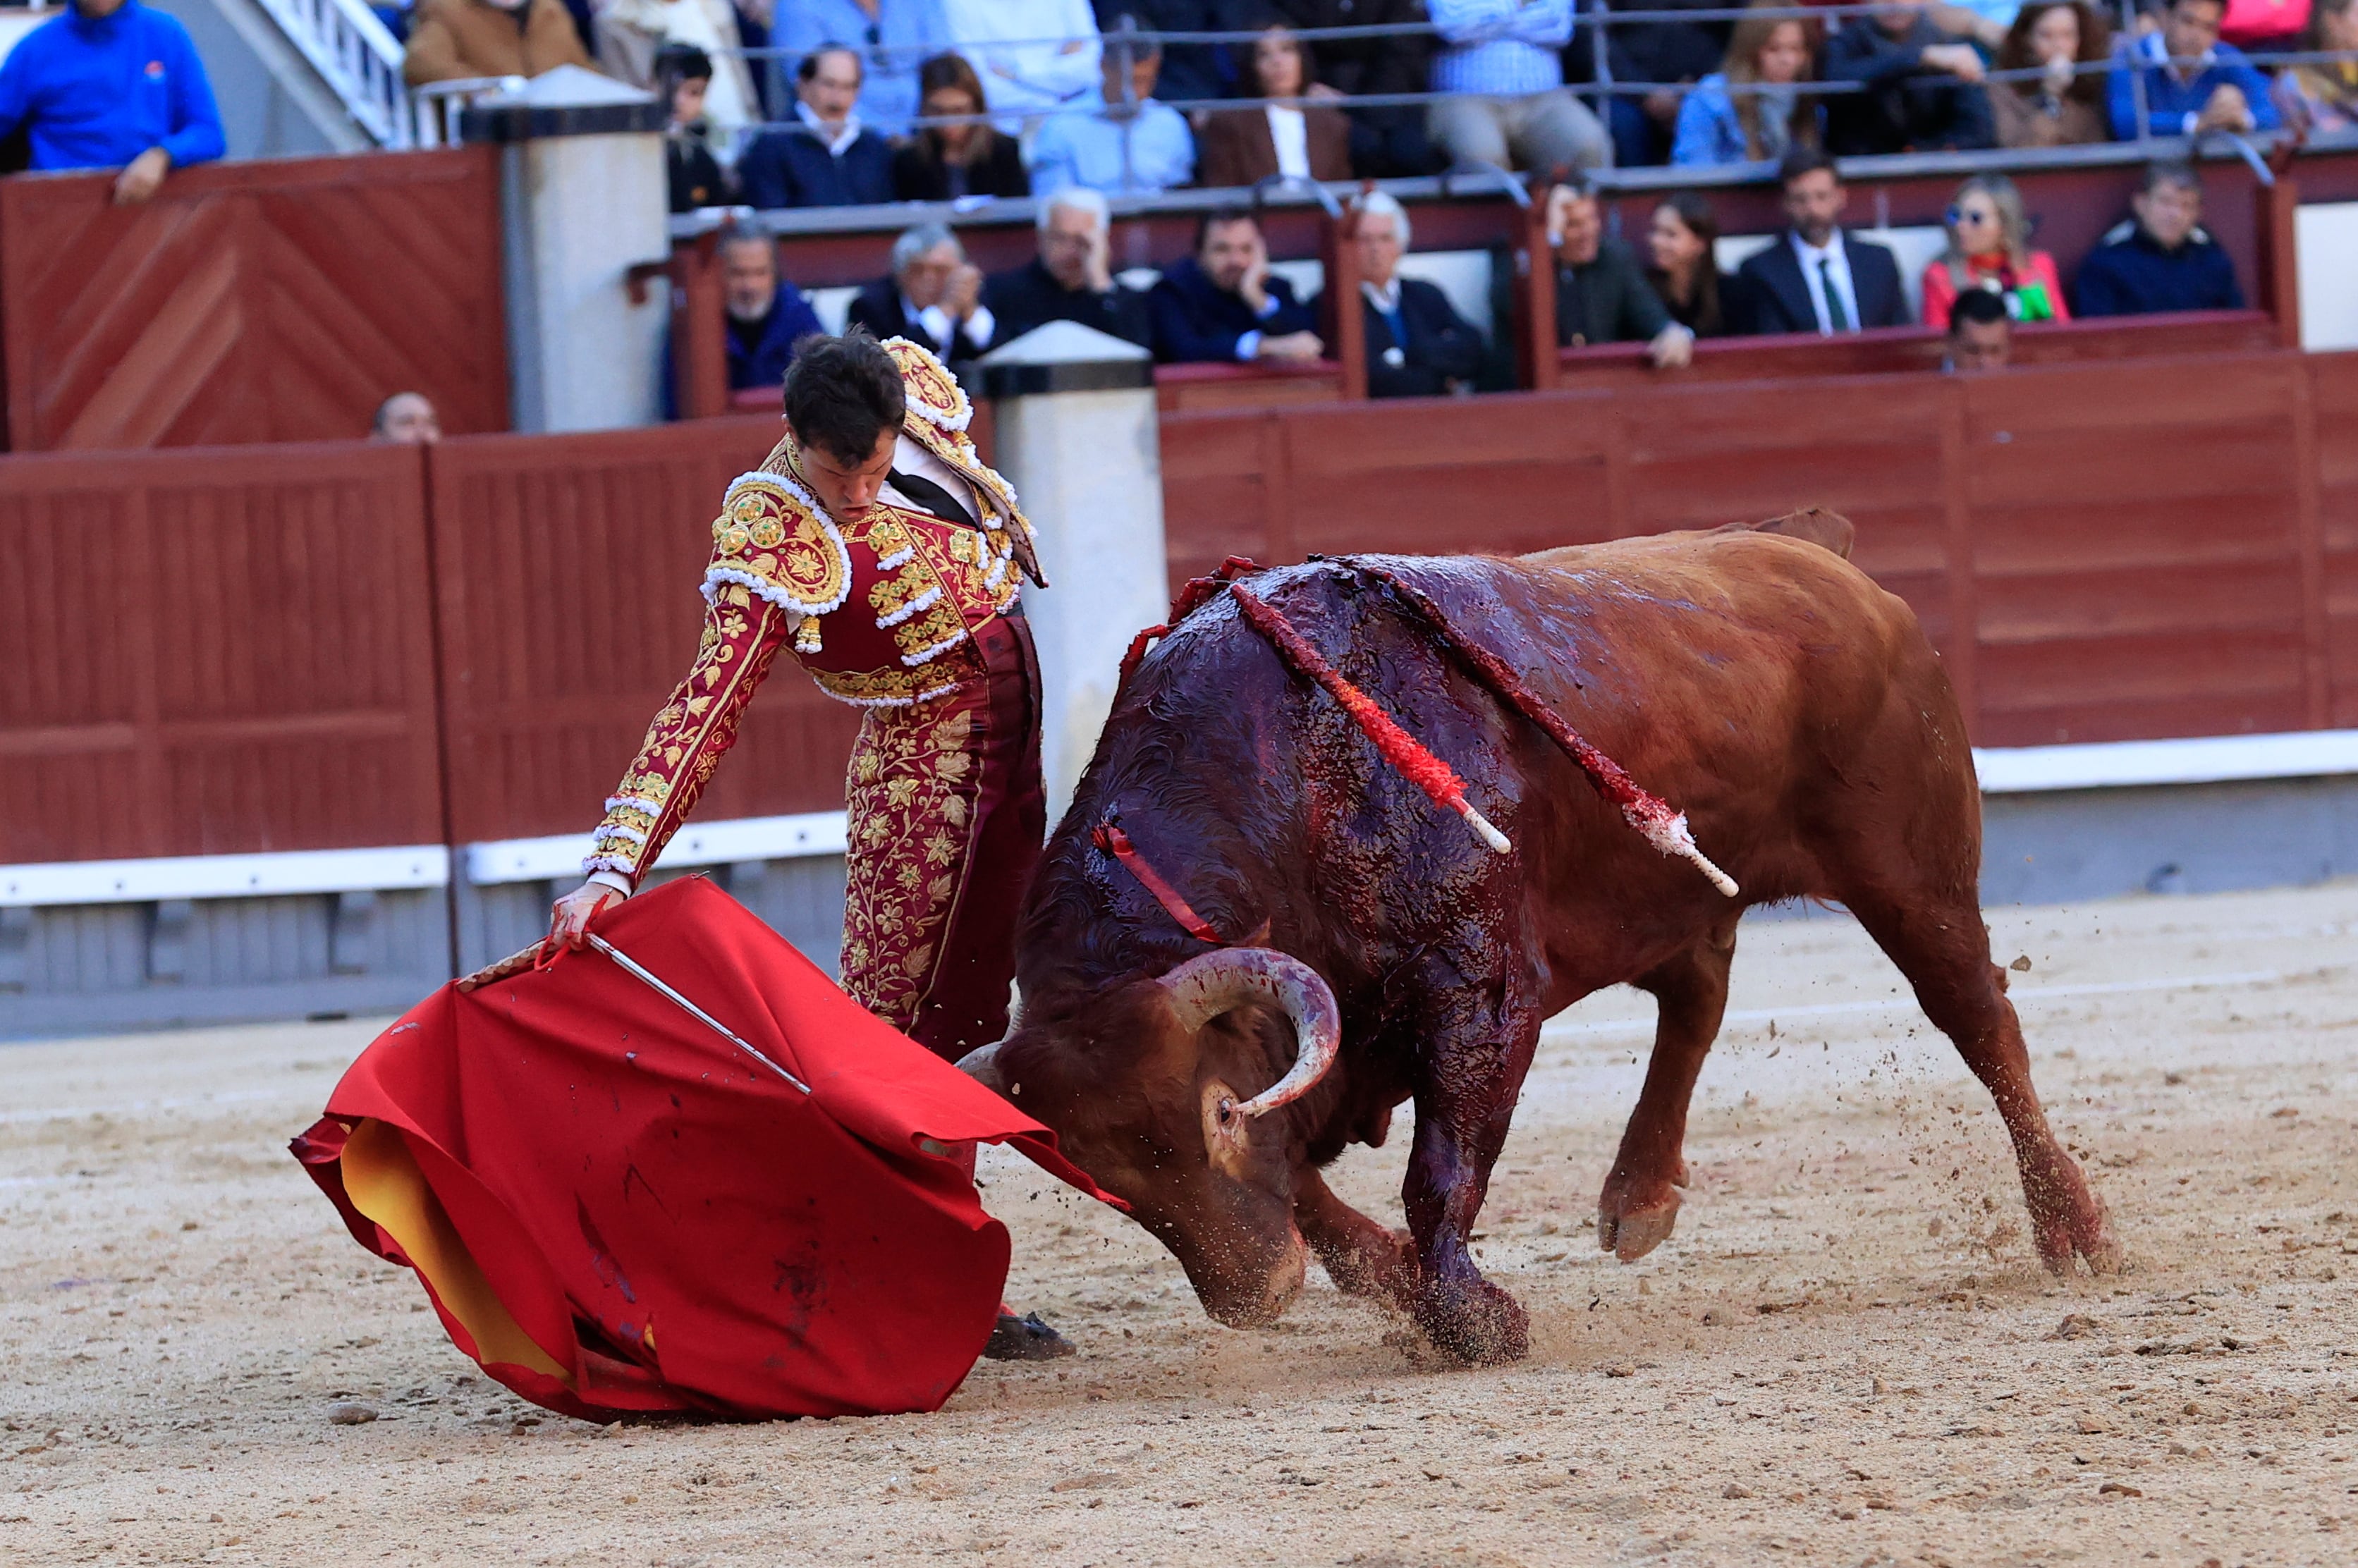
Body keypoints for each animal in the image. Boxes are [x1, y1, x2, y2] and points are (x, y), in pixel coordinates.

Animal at [957, 514, 2122, 1358]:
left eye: (1215, 1118)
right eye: (1099, 1173)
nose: (1255, 1296)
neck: (1294, 779)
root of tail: (1829, 566)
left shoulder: (1479, 993)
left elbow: (1437, 1169)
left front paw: (1471, 1321)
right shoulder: (1331, 1049)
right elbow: (1311, 1194)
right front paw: (1403, 1289)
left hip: (1912, 876)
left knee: (1979, 1019)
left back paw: (2074, 1228)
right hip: (1673, 887)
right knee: (1697, 998)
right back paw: (1638, 1199)